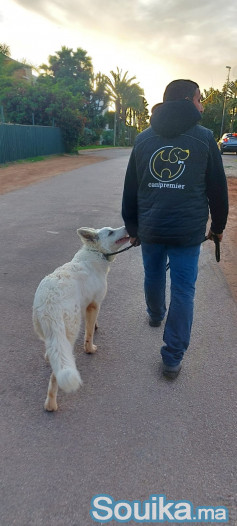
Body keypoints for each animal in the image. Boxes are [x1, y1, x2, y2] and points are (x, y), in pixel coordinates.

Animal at [32, 227, 129, 412]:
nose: (128, 227)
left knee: (53, 354)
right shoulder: (94, 304)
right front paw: (90, 349)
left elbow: (92, 325)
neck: (96, 252)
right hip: (70, 332)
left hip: (49, 333)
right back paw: (51, 405)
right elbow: (89, 333)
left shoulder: (86, 304)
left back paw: (48, 357)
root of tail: (50, 302)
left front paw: (96, 326)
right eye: (111, 232)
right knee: (56, 376)